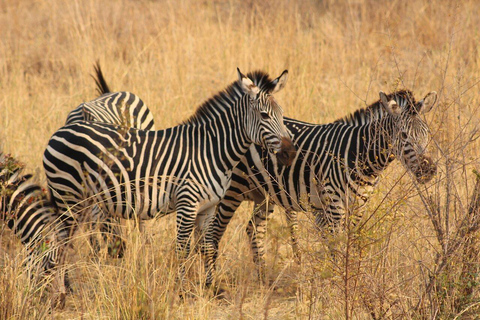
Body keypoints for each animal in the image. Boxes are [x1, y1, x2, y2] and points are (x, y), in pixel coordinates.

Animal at [43, 67, 296, 300]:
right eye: (264, 115)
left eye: (282, 114)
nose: (291, 154)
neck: (212, 150)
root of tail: (61, 130)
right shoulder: (187, 203)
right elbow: (183, 249)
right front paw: (183, 291)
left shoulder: (208, 207)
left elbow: (207, 246)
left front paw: (212, 287)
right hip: (68, 197)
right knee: (61, 244)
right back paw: (63, 292)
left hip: (81, 201)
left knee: (64, 243)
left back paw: (66, 289)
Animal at [201, 87, 436, 284]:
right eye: (404, 135)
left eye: (427, 133)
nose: (429, 170)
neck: (359, 155)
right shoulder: (333, 203)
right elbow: (336, 245)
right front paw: (339, 282)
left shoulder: (359, 204)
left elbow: (352, 242)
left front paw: (352, 278)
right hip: (233, 190)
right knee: (214, 232)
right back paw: (213, 281)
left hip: (264, 192)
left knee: (254, 229)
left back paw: (263, 279)